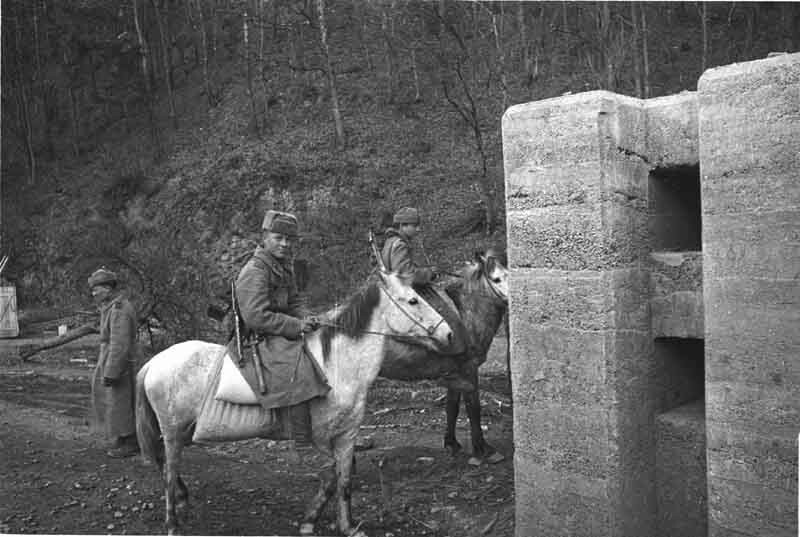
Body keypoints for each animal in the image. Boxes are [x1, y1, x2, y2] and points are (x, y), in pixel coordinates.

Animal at [134, 272, 460, 536]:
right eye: (413, 300)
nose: (448, 334)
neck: (337, 364)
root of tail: (152, 363)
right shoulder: (322, 436)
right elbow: (331, 477)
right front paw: (312, 522)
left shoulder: (347, 435)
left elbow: (342, 480)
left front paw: (342, 525)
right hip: (173, 431)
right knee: (168, 470)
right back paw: (173, 523)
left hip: (181, 431)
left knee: (165, 466)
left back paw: (182, 499)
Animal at [380, 249, 506, 462]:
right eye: (496, 279)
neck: (466, 313)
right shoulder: (469, 369)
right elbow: (473, 408)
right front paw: (482, 449)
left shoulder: (454, 373)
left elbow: (452, 407)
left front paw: (452, 443)